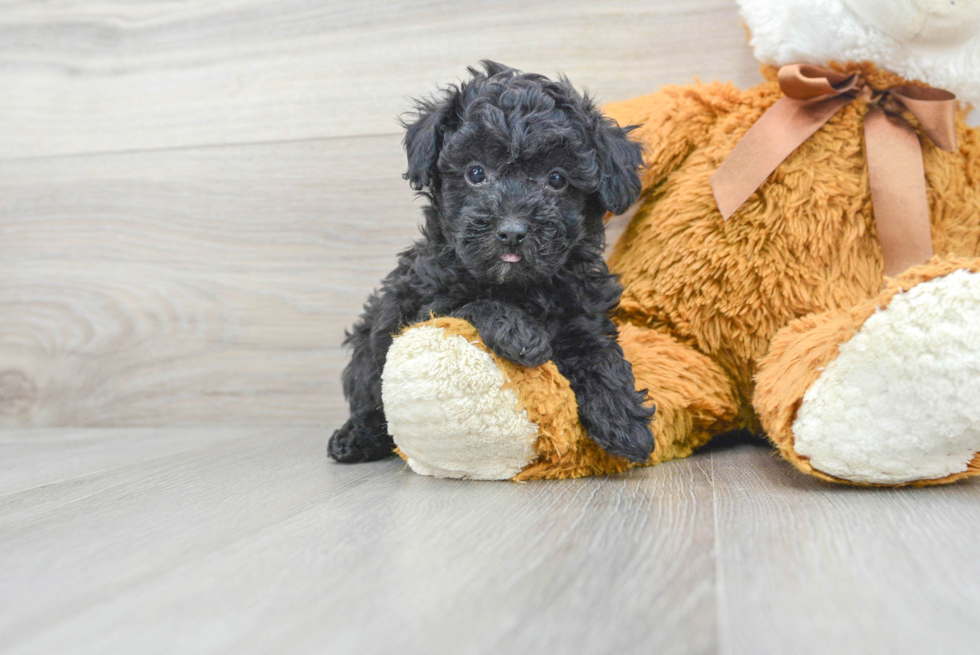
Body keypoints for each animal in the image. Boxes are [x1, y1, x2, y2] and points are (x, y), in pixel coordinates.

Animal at [330, 59, 660, 464]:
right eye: (476, 173)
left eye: (556, 179)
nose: (512, 231)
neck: (519, 287)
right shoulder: (418, 308)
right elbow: (470, 304)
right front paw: (520, 334)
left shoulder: (581, 312)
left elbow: (598, 354)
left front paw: (624, 421)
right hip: (369, 349)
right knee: (366, 398)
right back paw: (353, 439)